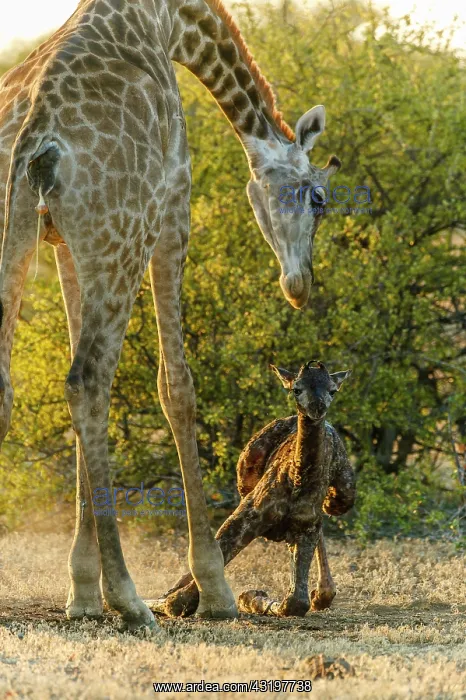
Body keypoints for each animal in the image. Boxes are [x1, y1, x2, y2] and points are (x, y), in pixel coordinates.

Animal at [153, 361, 356, 618]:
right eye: (296, 389)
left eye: (333, 390)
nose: (317, 409)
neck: (298, 481)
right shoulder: (246, 515)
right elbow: (179, 599)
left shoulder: (306, 527)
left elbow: (296, 601)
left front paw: (252, 597)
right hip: (245, 480)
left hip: (342, 497)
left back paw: (321, 595)